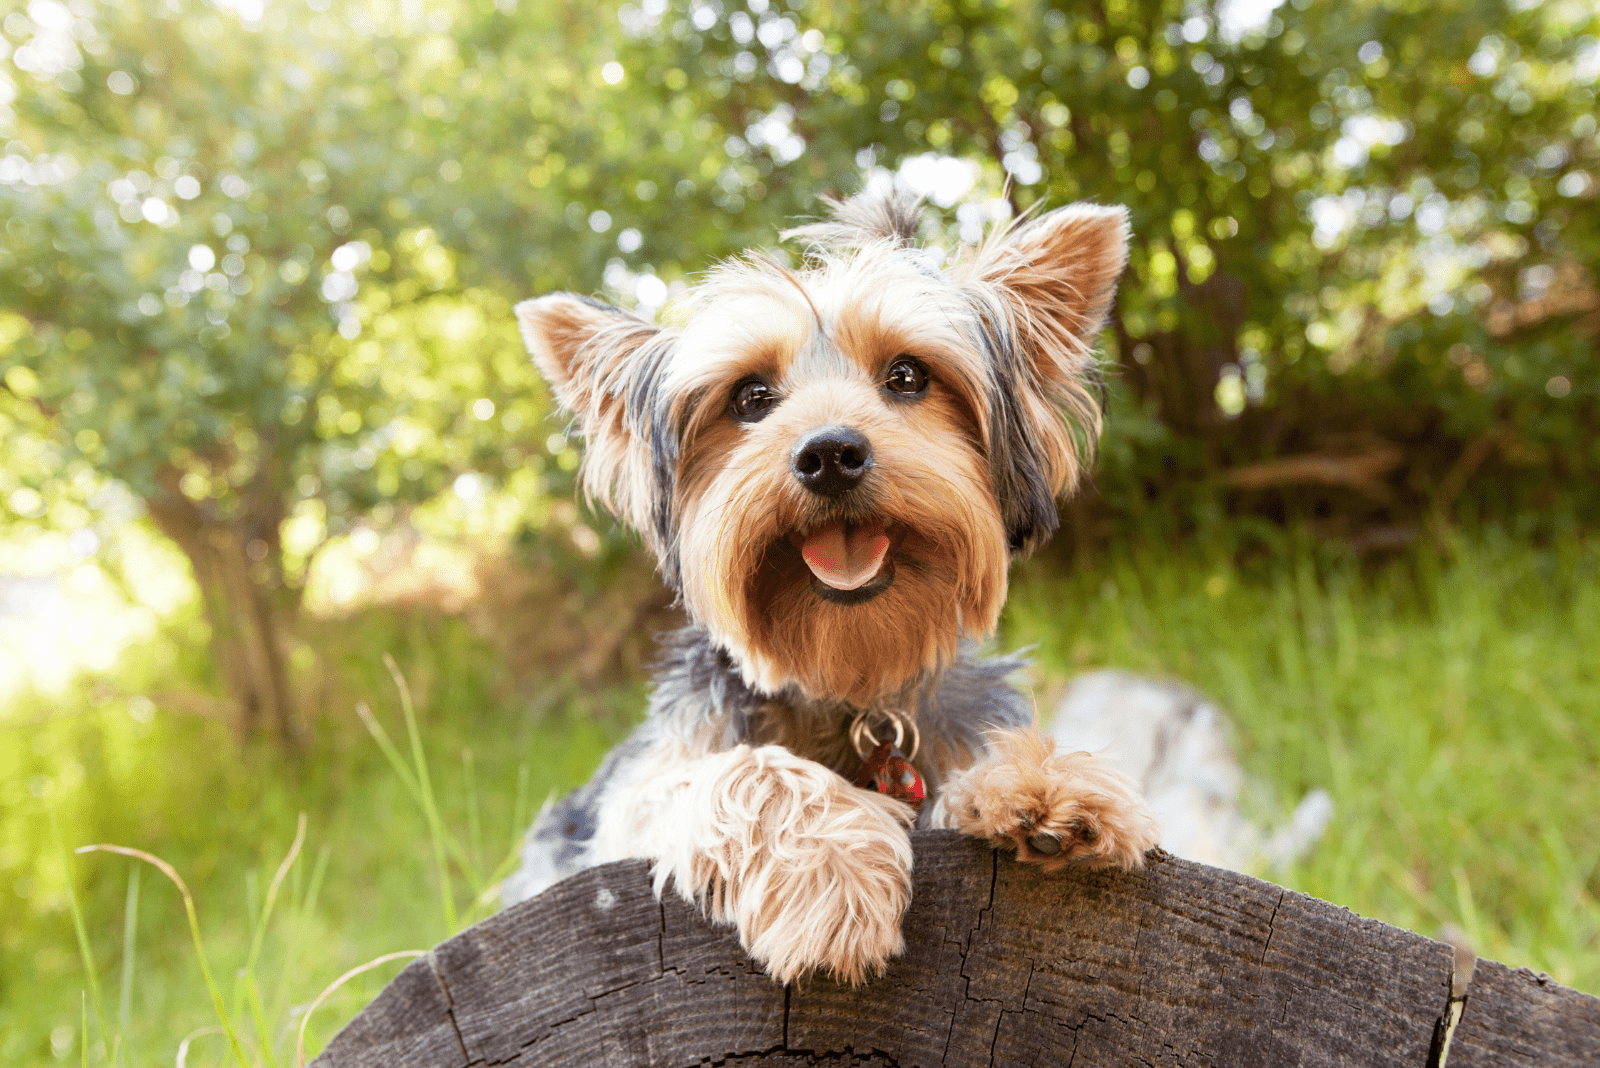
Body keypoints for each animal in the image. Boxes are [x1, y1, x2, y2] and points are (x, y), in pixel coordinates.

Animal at [505, 187, 1158, 991]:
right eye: (750, 397)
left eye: (908, 376)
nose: (829, 454)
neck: (845, 677)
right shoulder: (628, 809)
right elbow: (744, 771)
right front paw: (832, 871)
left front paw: (1044, 781)